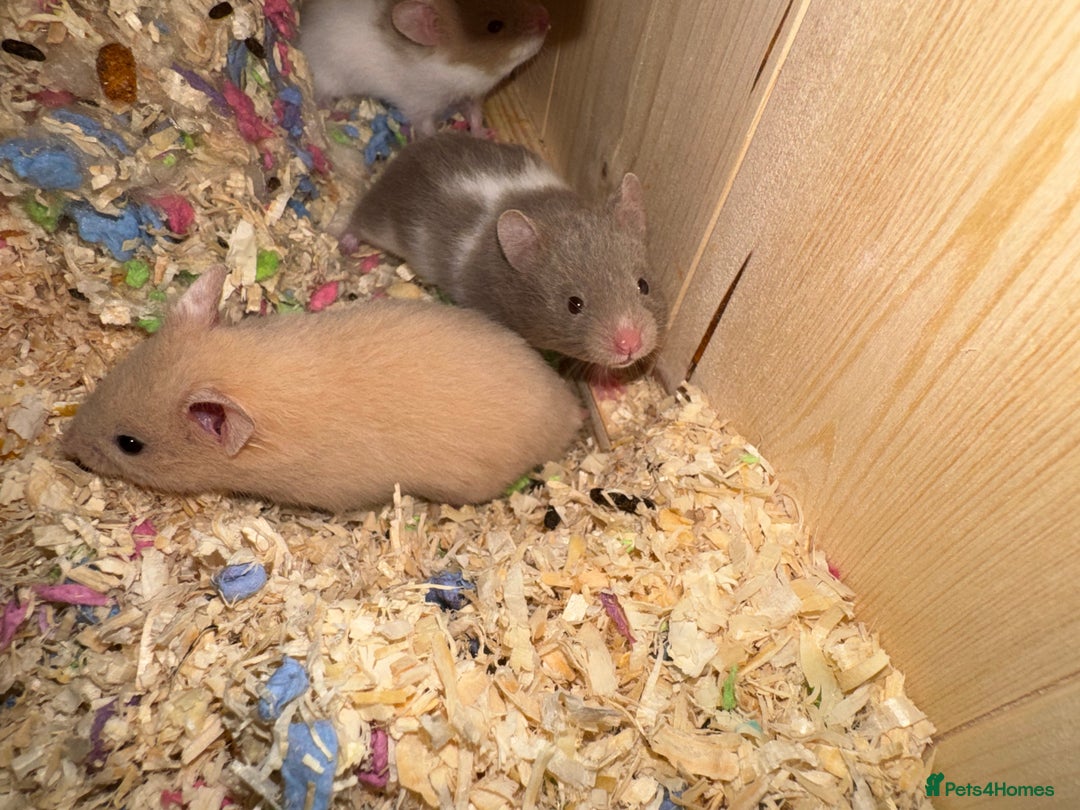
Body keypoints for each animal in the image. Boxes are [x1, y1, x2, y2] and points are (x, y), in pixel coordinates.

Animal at [298, 0, 550, 135]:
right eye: (494, 26)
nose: (548, 20)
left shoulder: (470, 96)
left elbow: (476, 117)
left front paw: (487, 134)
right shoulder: (420, 105)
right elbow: (427, 128)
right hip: (327, 77)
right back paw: (331, 111)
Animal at [348, 132, 667, 369]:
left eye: (644, 285)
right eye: (574, 305)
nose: (630, 344)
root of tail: (409, 151)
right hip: (380, 219)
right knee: (357, 219)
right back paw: (347, 242)